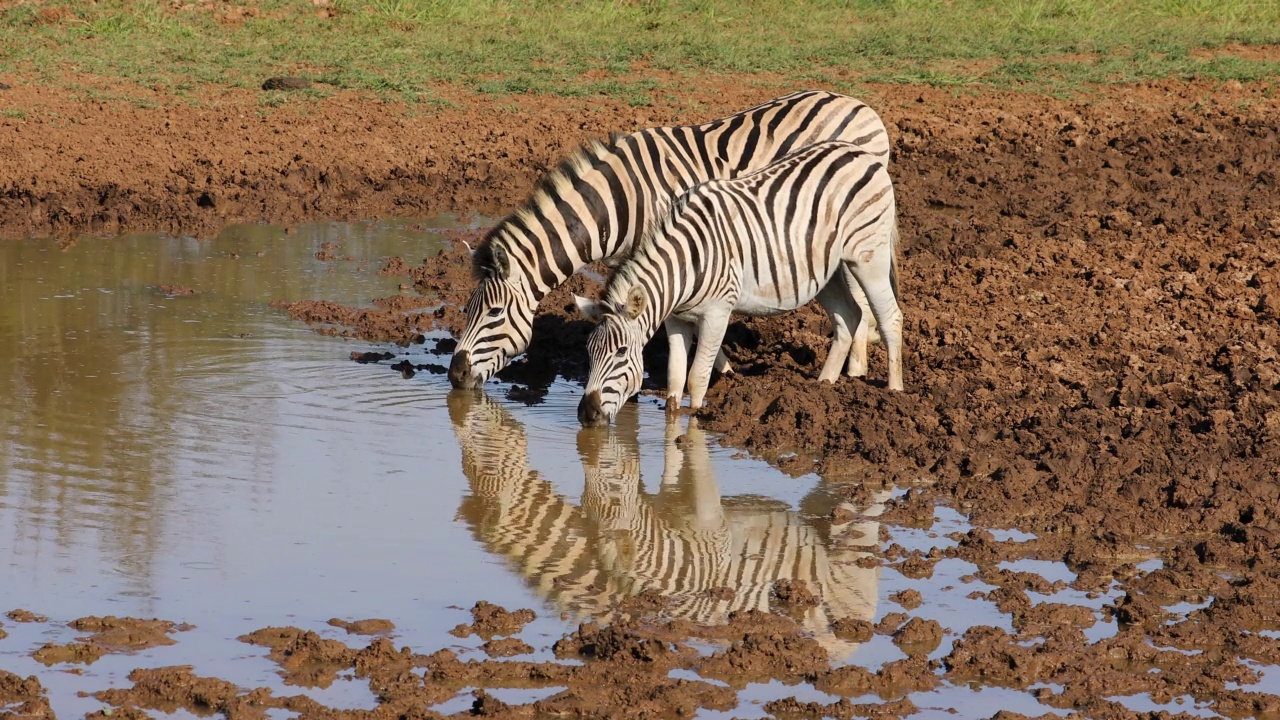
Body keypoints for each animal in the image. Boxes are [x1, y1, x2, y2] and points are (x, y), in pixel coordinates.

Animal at [442, 92, 890, 389]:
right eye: (468, 308)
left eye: (494, 313)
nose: (455, 374)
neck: (620, 201)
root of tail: (861, 105)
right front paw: (717, 365)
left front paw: (718, 369)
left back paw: (857, 367)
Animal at [576, 139, 906, 425]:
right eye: (589, 351)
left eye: (621, 352)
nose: (586, 414)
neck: (683, 268)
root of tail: (857, 151)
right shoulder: (676, 319)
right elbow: (675, 378)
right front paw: (673, 423)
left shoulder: (717, 314)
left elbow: (697, 378)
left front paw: (695, 421)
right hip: (828, 271)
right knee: (849, 316)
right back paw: (823, 386)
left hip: (868, 258)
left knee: (890, 317)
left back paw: (894, 393)